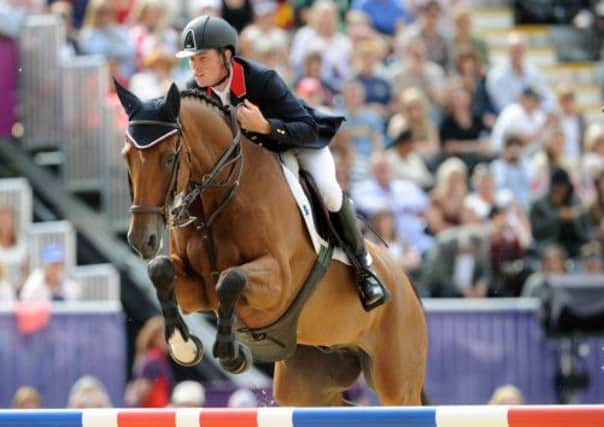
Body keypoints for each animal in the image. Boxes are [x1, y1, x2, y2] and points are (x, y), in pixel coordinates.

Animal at [115, 81, 428, 408]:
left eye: (168, 157)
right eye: (127, 157)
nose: (142, 240)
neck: (218, 200)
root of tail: (407, 284)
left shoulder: (278, 284)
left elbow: (230, 279)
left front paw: (233, 355)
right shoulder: (196, 291)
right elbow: (160, 269)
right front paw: (184, 346)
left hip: (397, 382)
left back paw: (372, 287)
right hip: (307, 384)